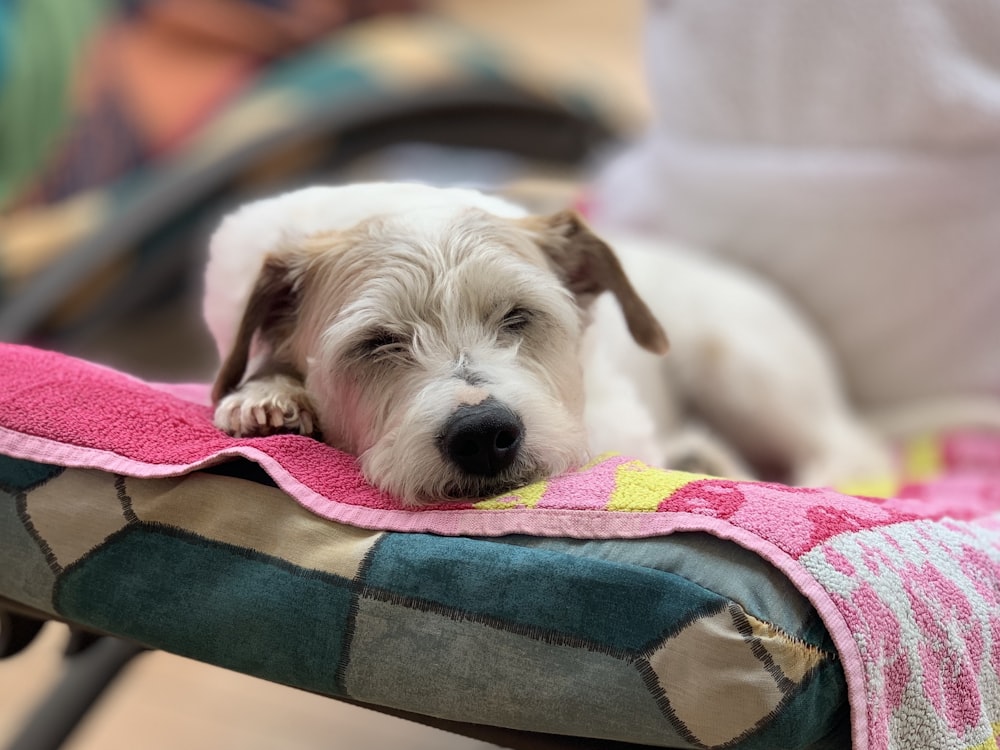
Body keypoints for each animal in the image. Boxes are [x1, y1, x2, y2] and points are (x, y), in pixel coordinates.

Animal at [203, 181, 892, 506]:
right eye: (378, 342)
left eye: (518, 315)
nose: (483, 434)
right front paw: (267, 395)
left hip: (742, 371)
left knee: (853, 450)